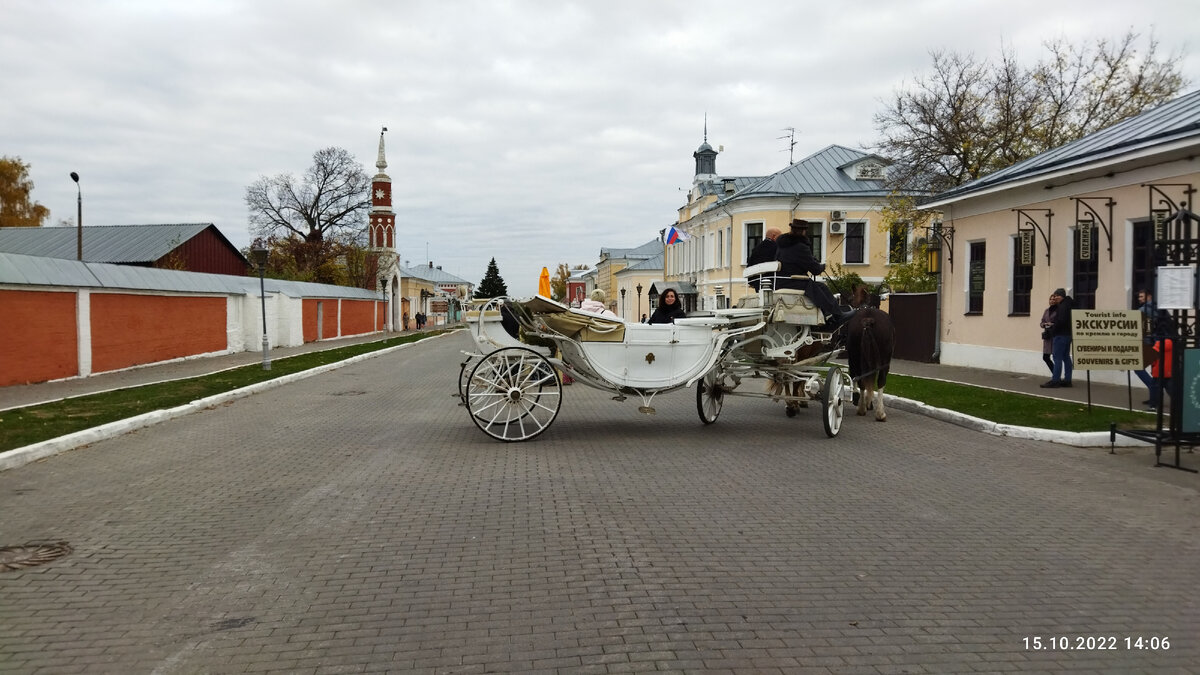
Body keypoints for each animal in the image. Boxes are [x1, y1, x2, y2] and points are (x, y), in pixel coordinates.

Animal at [844, 284, 892, 420]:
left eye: (850, 298)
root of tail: (868, 320)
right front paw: (867, 402)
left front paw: (865, 401)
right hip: (883, 359)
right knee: (879, 380)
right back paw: (877, 412)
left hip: (857, 356)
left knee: (862, 379)